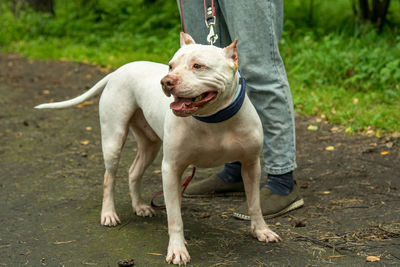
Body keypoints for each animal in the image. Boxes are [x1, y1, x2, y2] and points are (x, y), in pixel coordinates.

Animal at [36, 33, 282, 266]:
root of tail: (119, 69)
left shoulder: (250, 165)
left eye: (198, 66)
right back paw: (108, 214)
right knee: (109, 178)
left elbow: (254, 204)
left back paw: (139, 206)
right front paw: (177, 250)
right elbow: (174, 217)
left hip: (150, 145)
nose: (166, 81)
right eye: (171, 66)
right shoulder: (171, 168)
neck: (214, 119)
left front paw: (261, 230)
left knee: (133, 172)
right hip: (113, 139)